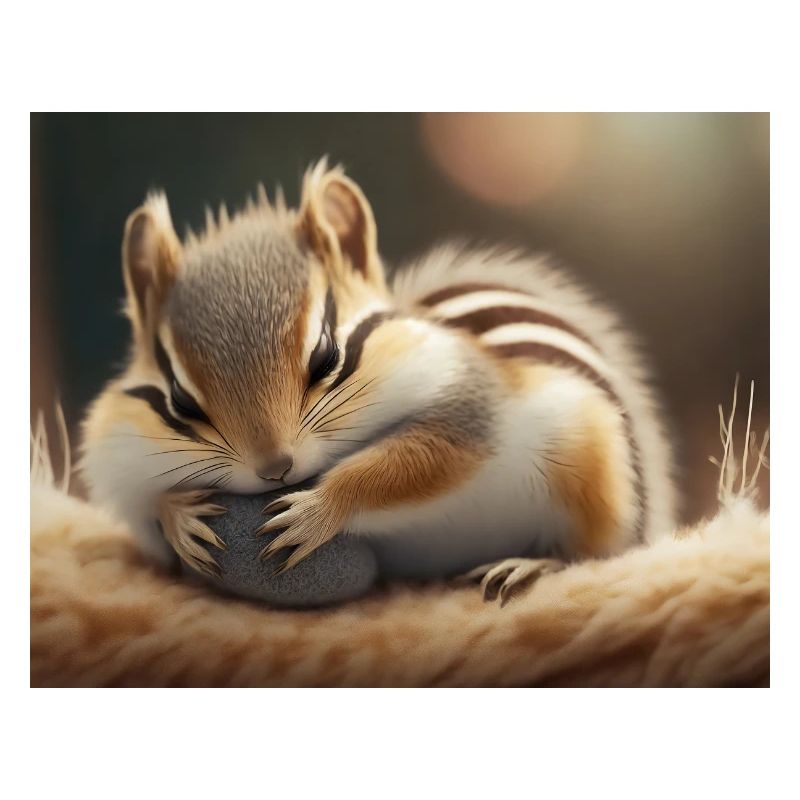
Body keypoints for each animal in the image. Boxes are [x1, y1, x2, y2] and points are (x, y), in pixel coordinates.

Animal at [80, 160, 676, 604]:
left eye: (325, 357)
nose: (275, 469)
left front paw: (315, 512)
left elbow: (412, 463)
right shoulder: (120, 459)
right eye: (181, 400)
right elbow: (145, 509)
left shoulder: (468, 407)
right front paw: (179, 516)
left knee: (598, 553)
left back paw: (530, 565)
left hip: (594, 469)